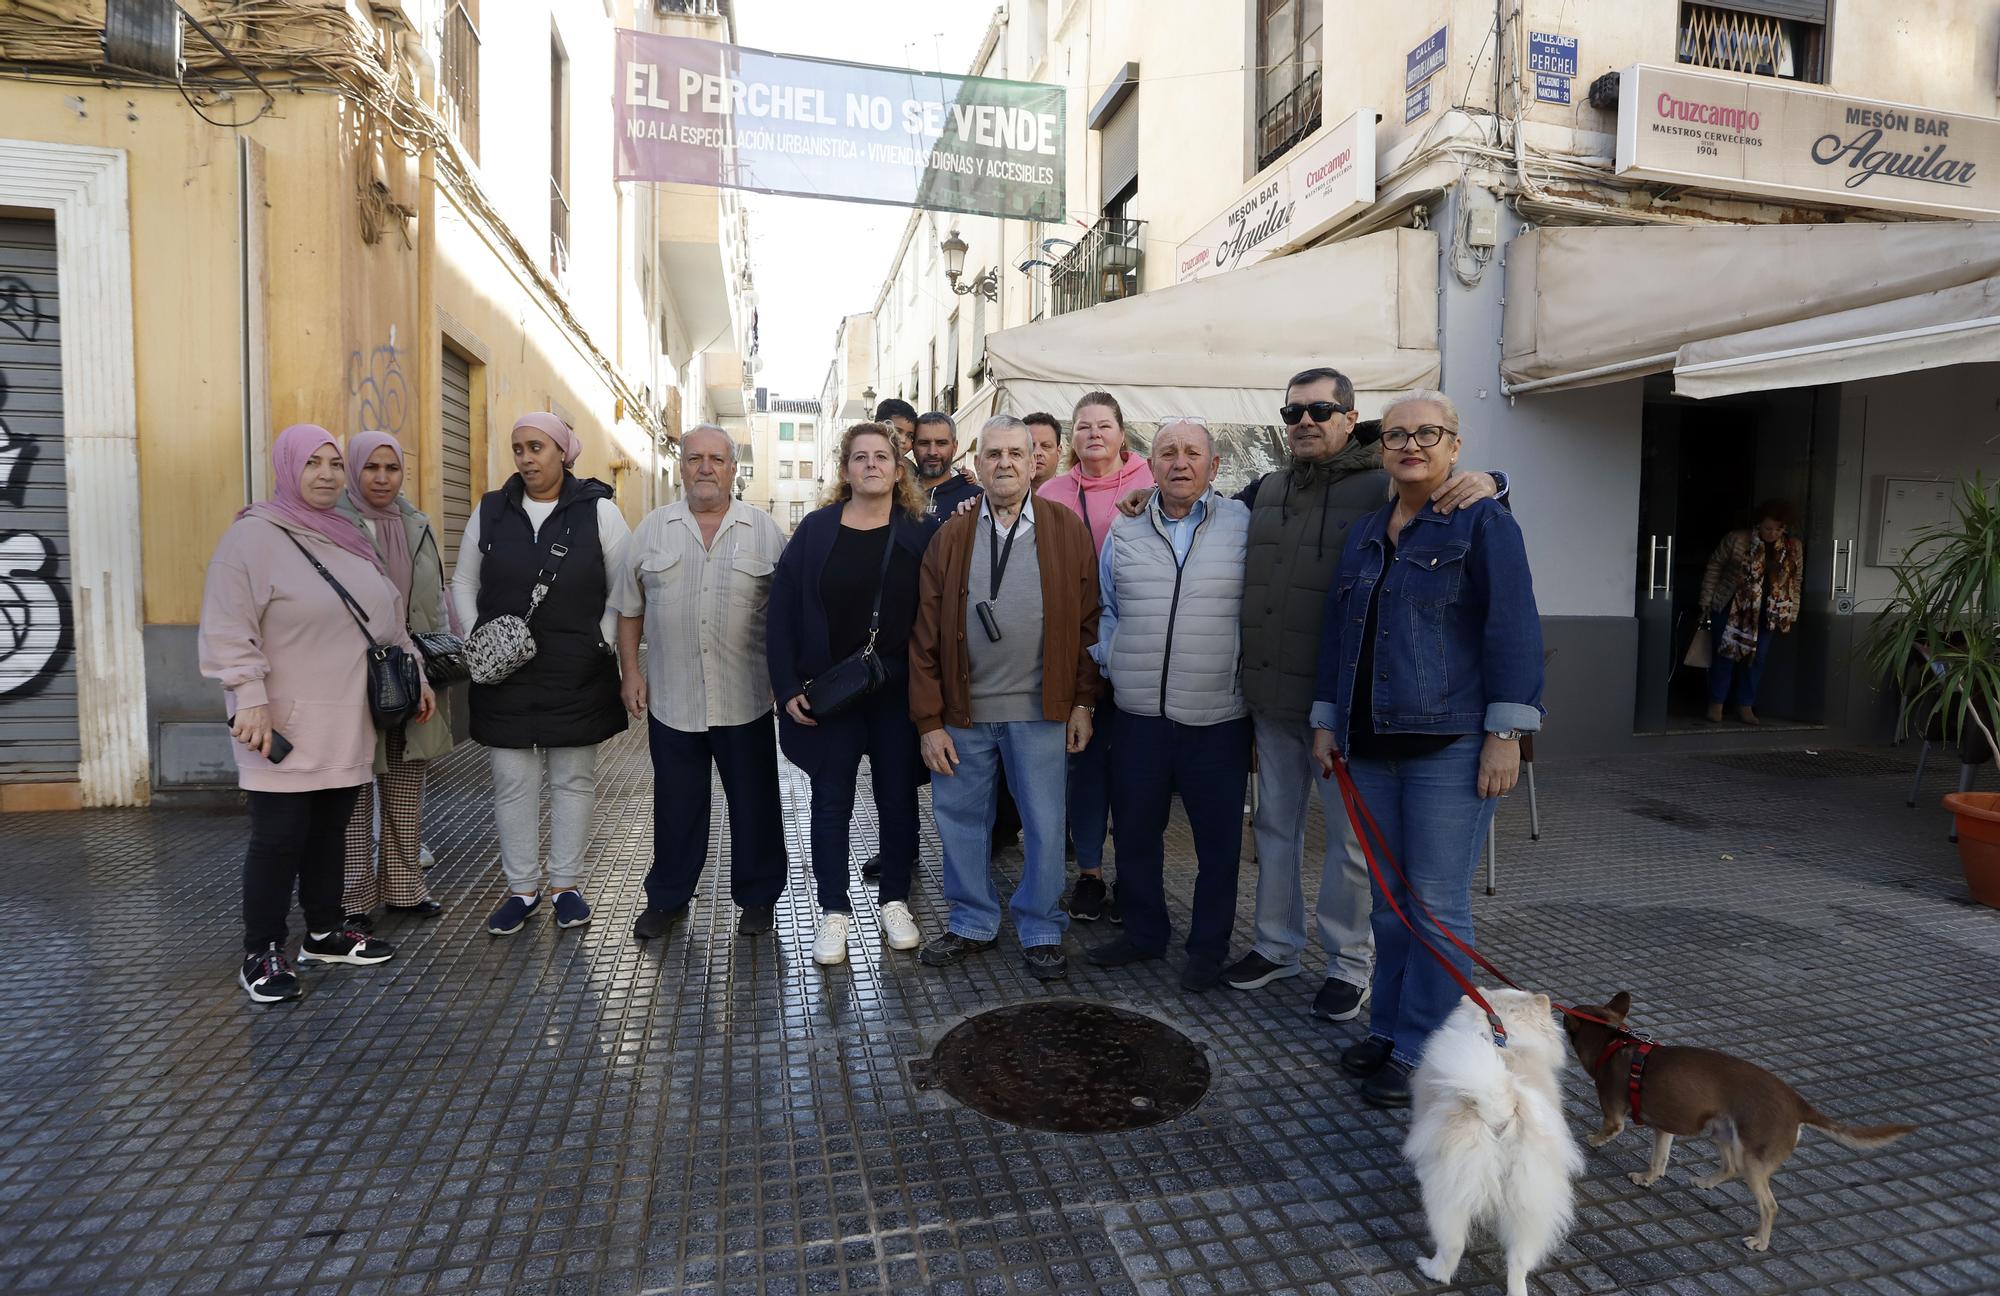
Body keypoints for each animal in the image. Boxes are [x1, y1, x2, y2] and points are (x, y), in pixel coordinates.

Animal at [1400, 988, 1584, 1288]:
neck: (1503, 1036)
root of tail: (1501, 1109)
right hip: (1530, 1203)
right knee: (1519, 1263)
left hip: (1450, 1195)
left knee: (1452, 1246)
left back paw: (1430, 1269)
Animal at [1560, 992, 1904, 1256]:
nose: (1561, 1014)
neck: (1613, 1042)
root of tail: (1798, 1104)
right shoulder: (1665, 1127)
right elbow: (1659, 1160)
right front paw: (1647, 1178)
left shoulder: (1613, 1113)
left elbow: (1607, 1131)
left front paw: (1592, 1141)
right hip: (1722, 1131)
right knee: (1730, 1167)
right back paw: (1705, 1182)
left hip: (1753, 1156)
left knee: (1769, 1205)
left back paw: (1760, 1241)